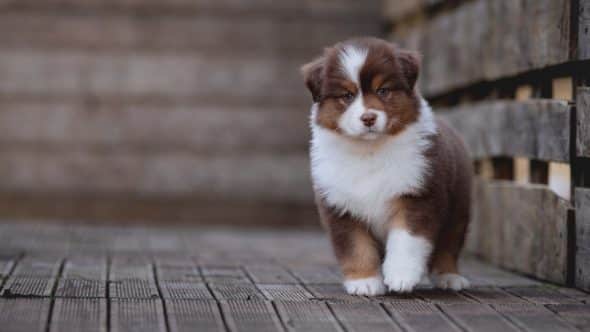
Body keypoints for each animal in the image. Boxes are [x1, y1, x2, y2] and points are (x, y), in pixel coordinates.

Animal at [302, 37, 474, 294]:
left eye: (383, 90)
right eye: (347, 95)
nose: (368, 118)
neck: (369, 150)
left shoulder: (418, 194)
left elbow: (406, 240)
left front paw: (401, 277)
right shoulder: (340, 205)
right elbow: (356, 247)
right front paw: (364, 282)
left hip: (458, 209)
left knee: (448, 245)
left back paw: (450, 278)